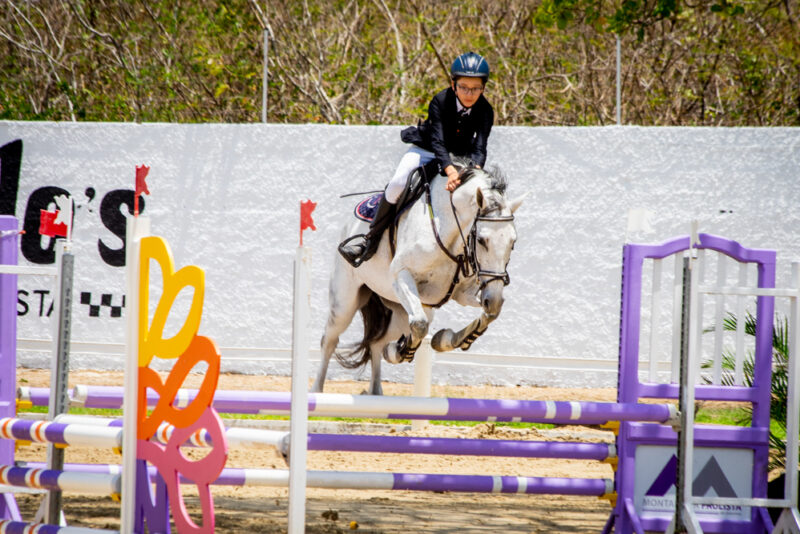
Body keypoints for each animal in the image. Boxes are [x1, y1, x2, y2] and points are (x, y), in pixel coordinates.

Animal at [312, 161, 524, 396]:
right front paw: (400, 351)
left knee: (377, 342)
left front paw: (448, 339)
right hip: (345, 302)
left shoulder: (465, 292)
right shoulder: (401, 275)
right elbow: (420, 325)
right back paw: (316, 391)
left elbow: (490, 314)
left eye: (513, 242)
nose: (492, 298)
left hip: (396, 309)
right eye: (481, 240)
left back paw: (376, 390)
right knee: (330, 340)